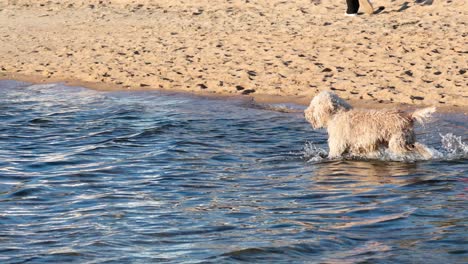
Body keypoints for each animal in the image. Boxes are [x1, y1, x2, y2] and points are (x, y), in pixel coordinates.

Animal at [304, 91, 436, 159]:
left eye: (314, 104)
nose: (305, 113)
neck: (337, 114)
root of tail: (408, 116)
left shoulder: (337, 146)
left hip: (397, 142)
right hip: (406, 140)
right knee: (418, 147)